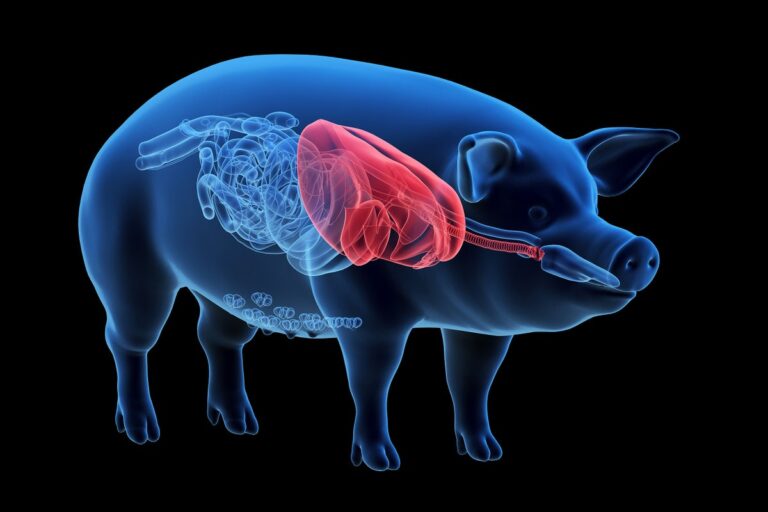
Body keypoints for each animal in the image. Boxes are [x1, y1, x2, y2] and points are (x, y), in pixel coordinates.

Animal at [78, 55, 678, 470]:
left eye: (593, 204)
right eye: (537, 209)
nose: (637, 248)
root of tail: (114, 140)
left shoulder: (482, 328)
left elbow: (471, 379)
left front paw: (487, 453)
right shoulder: (362, 308)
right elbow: (373, 377)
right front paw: (382, 462)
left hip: (224, 286)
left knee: (216, 336)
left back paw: (241, 427)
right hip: (125, 259)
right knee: (128, 338)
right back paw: (142, 432)